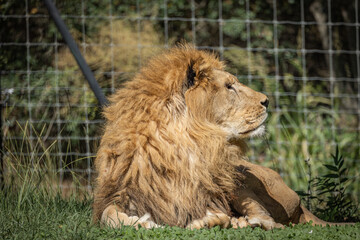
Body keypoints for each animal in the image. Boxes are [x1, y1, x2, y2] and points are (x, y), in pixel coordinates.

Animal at [93, 44, 352, 230]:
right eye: (229, 86)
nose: (267, 100)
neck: (182, 146)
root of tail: (300, 203)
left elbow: (219, 213)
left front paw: (213, 220)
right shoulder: (122, 194)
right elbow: (108, 214)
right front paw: (141, 223)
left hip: (242, 179)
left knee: (270, 221)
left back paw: (243, 222)